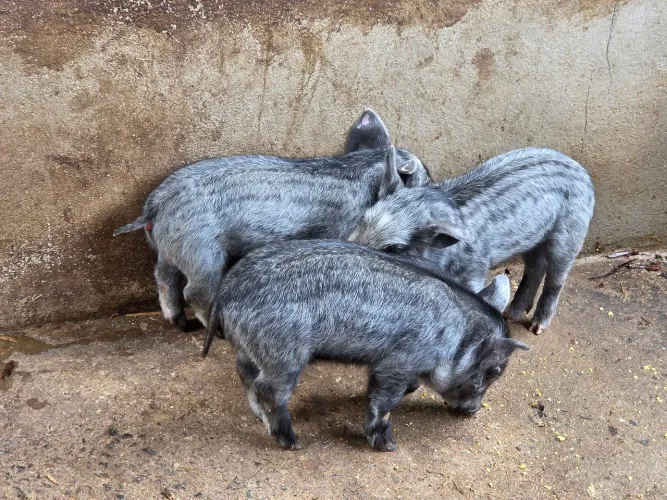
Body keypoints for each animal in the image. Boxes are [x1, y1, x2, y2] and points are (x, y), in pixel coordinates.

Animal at [113, 120, 431, 331]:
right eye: (422, 179)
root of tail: (154, 206)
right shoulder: (343, 229)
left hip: (167, 249)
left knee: (164, 279)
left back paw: (179, 324)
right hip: (200, 250)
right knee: (194, 290)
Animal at [203, 239, 530, 451]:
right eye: (493, 371)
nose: (473, 411)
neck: (456, 336)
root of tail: (227, 290)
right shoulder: (398, 362)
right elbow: (384, 402)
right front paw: (388, 446)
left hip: (250, 349)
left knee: (246, 376)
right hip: (284, 352)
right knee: (270, 390)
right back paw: (294, 443)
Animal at [348, 147, 595, 335]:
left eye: (393, 248)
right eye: (363, 220)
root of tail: (583, 172)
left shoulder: (474, 271)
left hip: (570, 235)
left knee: (556, 279)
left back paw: (536, 328)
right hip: (534, 240)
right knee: (535, 268)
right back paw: (511, 315)